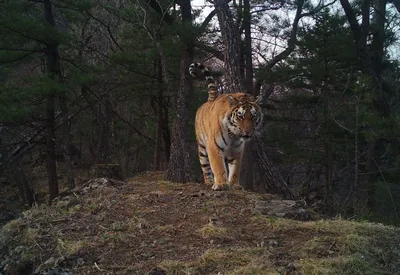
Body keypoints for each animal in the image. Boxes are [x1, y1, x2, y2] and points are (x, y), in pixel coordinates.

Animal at [189, 63, 264, 191]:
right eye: (240, 116)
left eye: (253, 116)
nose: (248, 132)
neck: (234, 135)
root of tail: (209, 101)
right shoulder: (213, 146)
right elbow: (218, 166)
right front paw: (221, 184)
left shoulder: (238, 149)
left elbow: (235, 169)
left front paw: (235, 185)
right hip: (202, 146)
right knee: (205, 165)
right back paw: (209, 182)